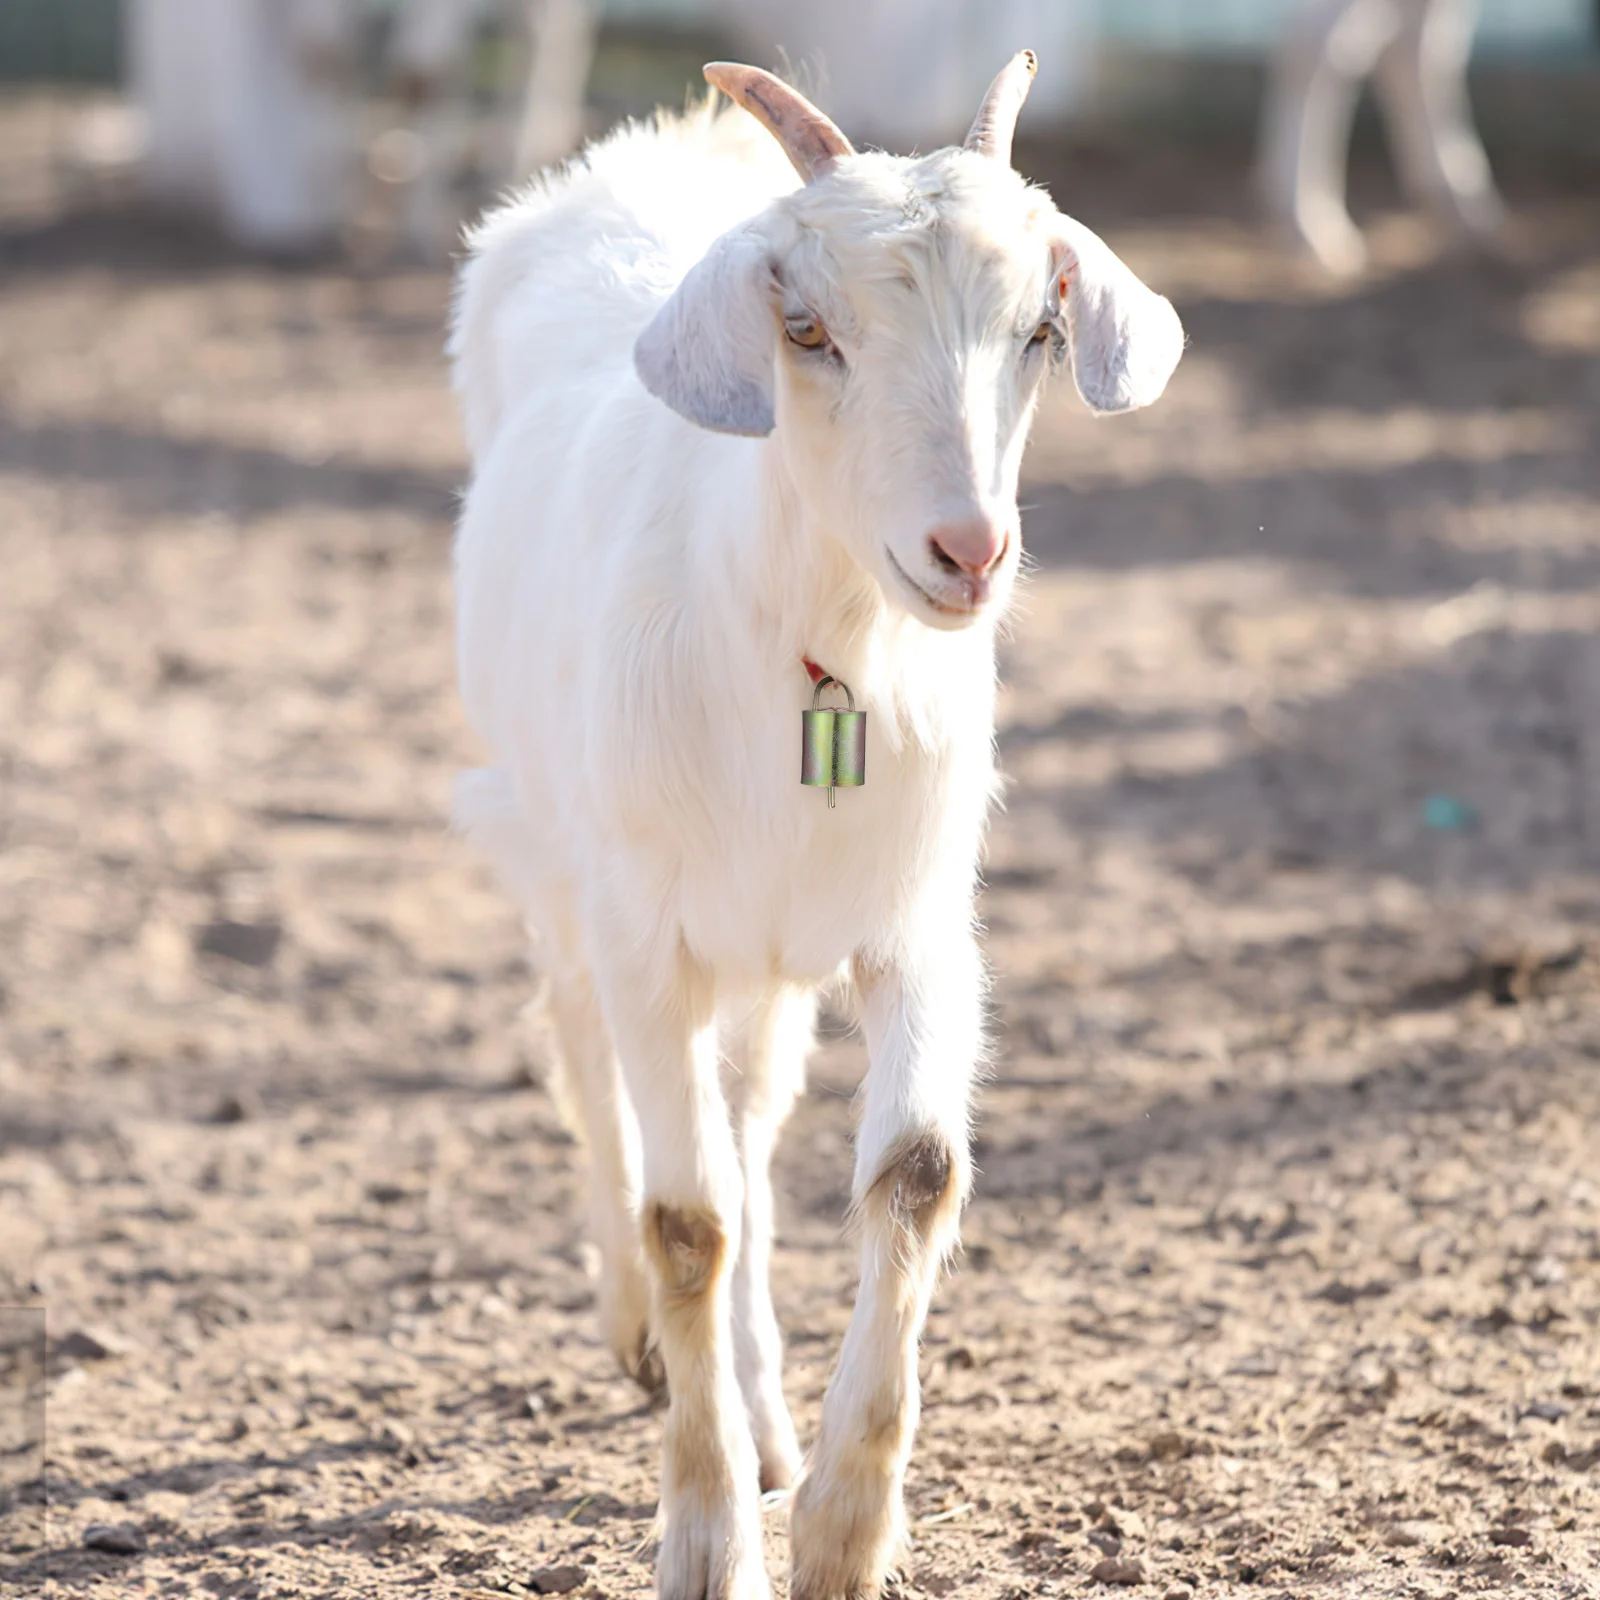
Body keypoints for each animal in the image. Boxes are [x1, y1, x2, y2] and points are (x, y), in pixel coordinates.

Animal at [451, 53, 1190, 1600]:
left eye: (1041, 326)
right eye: (806, 331)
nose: (967, 551)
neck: (814, 658)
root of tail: (667, 147)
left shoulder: (915, 924)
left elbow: (911, 1172)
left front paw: (841, 1527)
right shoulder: (646, 927)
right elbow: (686, 1219)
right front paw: (704, 1538)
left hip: (765, 953)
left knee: (741, 1122)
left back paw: (766, 1417)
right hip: (552, 841)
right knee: (587, 1056)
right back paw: (640, 1335)